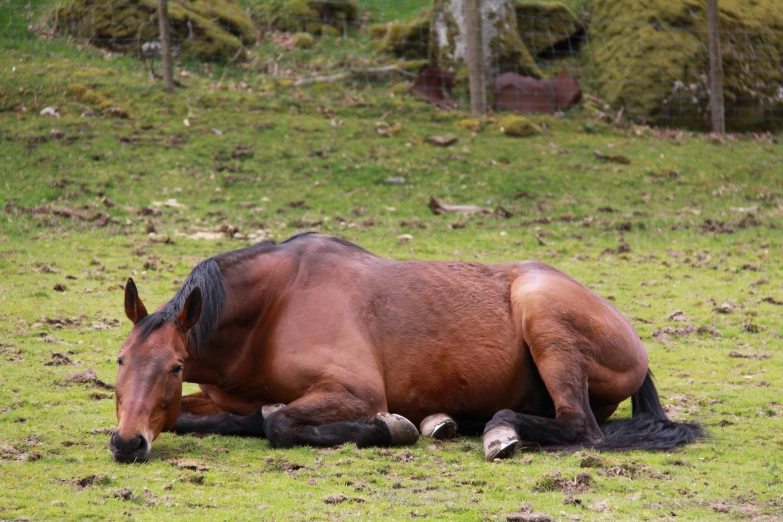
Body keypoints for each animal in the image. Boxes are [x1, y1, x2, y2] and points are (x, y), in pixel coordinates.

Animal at [110, 234, 704, 462]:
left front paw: (388, 429)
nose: (126, 444)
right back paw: (448, 421)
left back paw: (497, 432)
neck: (272, 308)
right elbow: (216, 417)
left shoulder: (356, 391)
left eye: (175, 366)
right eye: (120, 361)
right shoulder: (220, 398)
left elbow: (278, 423)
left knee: (580, 427)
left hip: (545, 320)